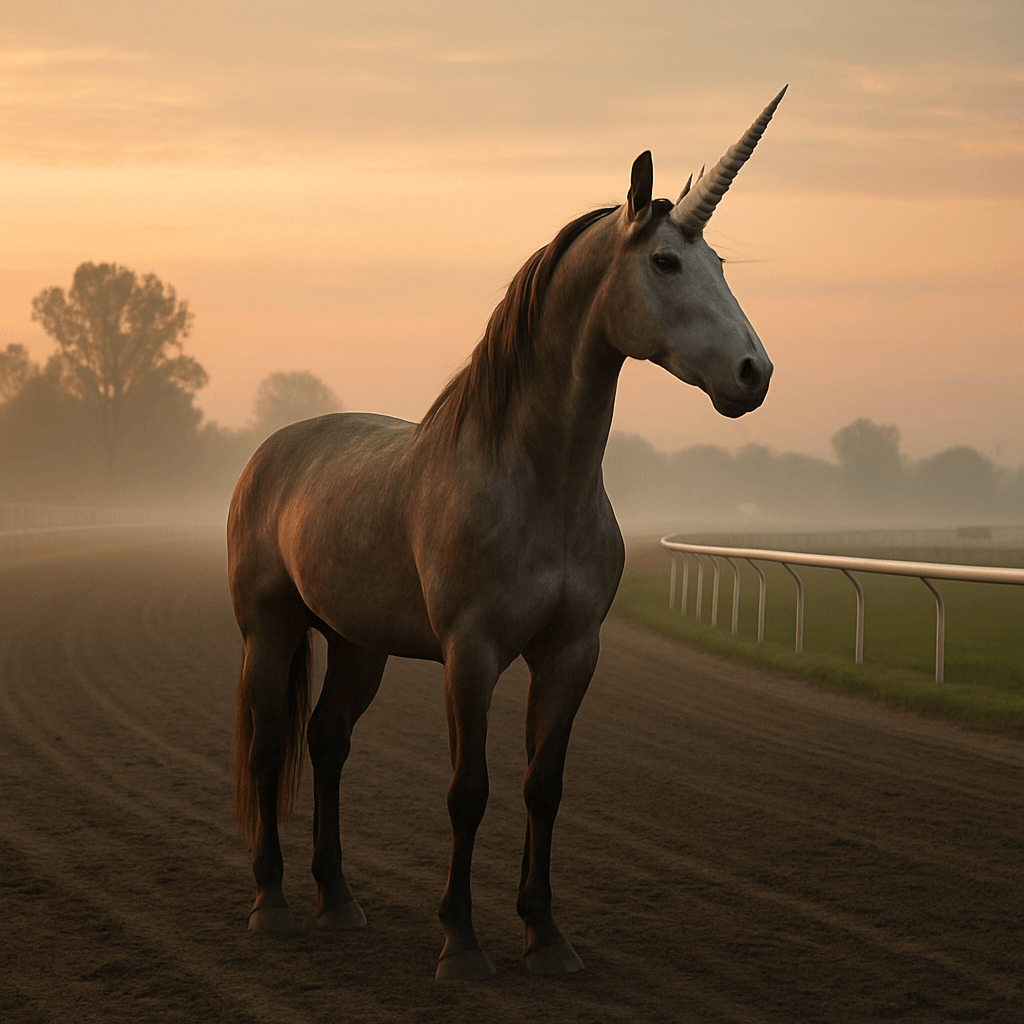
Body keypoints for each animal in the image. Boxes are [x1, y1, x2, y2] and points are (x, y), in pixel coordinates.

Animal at [228, 87, 785, 981]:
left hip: (358, 644)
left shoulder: (571, 652)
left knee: (327, 743)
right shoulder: (472, 653)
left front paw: (546, 937)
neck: (537, 484)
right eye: (666, 263)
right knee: (271, 747)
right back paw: (272, 906)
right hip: (269, 631)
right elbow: (470, 790)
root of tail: (273, 451)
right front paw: (460, 944)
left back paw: (339, 901)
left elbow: (541, 787)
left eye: (723, 267)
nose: (753, 373)